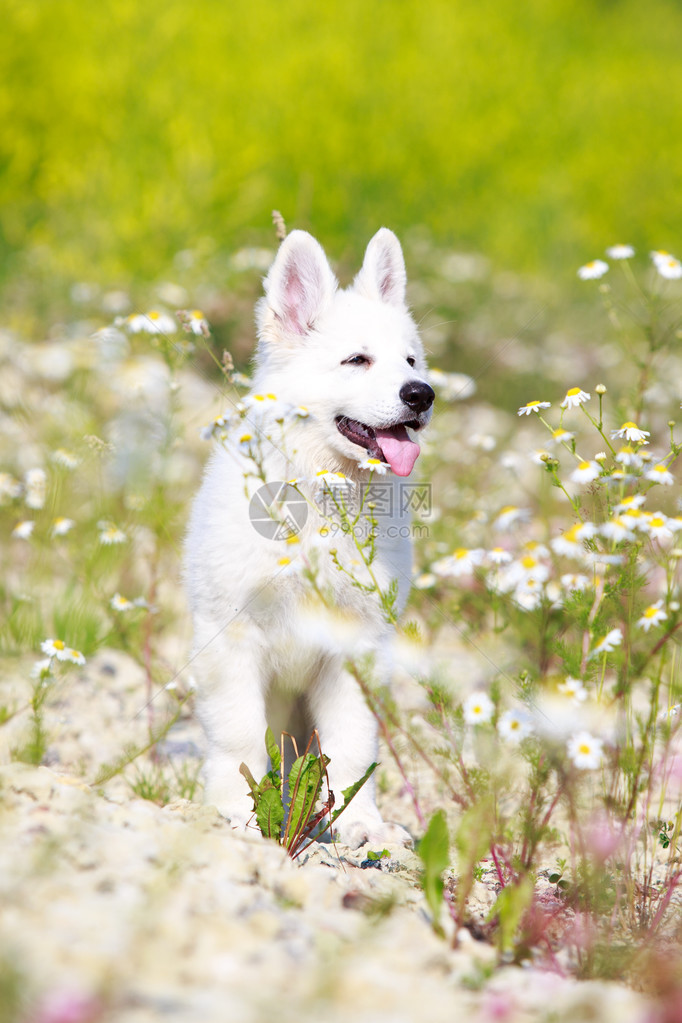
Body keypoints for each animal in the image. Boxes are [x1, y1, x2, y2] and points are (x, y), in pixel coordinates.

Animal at [184, 230, 435, 847]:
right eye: (356, 360)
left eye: (411, 361)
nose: (422, 394)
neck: (321, 504)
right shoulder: (232, 640)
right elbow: (239, 735)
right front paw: (236, 810)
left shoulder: (358, 649)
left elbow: (353, 742)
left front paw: (361, 822)